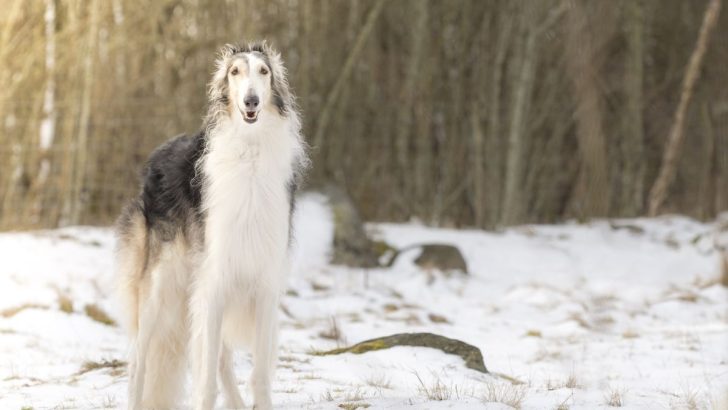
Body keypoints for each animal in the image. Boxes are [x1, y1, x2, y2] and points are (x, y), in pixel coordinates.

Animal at [116, 42, 308, 410]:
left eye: (264, 71)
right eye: (235, 72)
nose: (251, 102)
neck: (249, 152)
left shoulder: (263, 284)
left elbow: (258, 376)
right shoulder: (216, 279)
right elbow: (205, 379)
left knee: (219, 359)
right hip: (160, 286)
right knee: (138, 362)